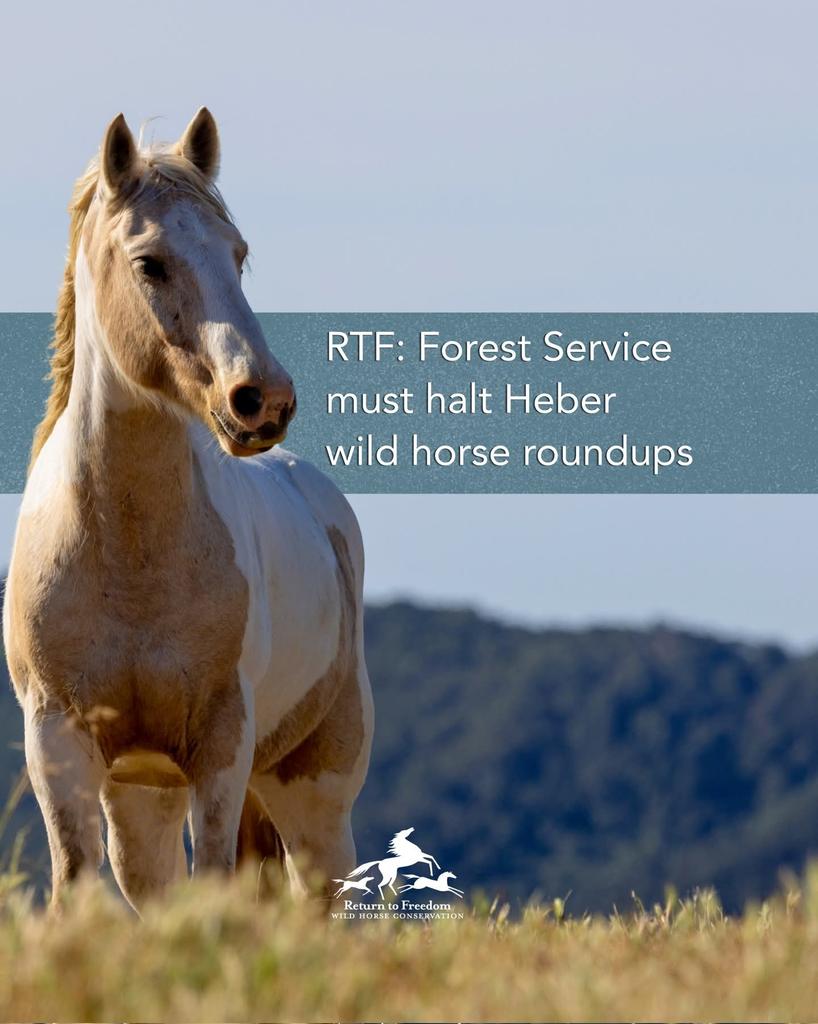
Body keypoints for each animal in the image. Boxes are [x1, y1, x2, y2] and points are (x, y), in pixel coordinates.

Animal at [2, 109, 373, 911]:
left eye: (238, 255)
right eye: (151, 263)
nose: (261, 400)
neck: (129, 554)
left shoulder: (221, 743)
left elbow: (219, 875)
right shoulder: (59, 742)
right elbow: (76, 882)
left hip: (313, 792)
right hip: (144, 798)